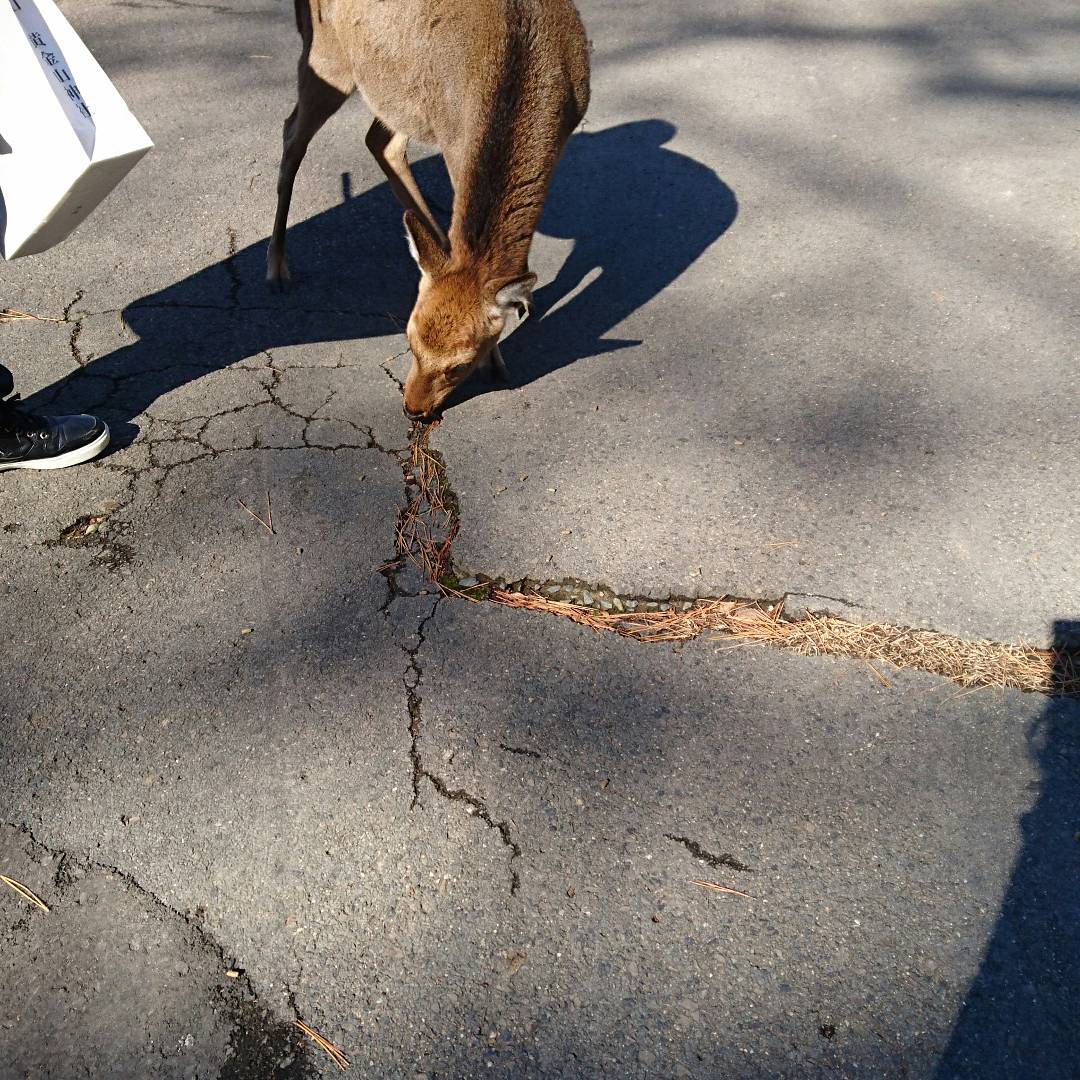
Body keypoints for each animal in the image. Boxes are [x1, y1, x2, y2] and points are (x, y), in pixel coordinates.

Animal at [268, 0, 591, 421]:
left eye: (460, 364)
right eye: (408, 339)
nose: (412, 409)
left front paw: (523, 300)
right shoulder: (454, 143)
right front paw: (500, 360)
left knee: (379, 140)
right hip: (325, 56)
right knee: (292, 133)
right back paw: (277, 266)